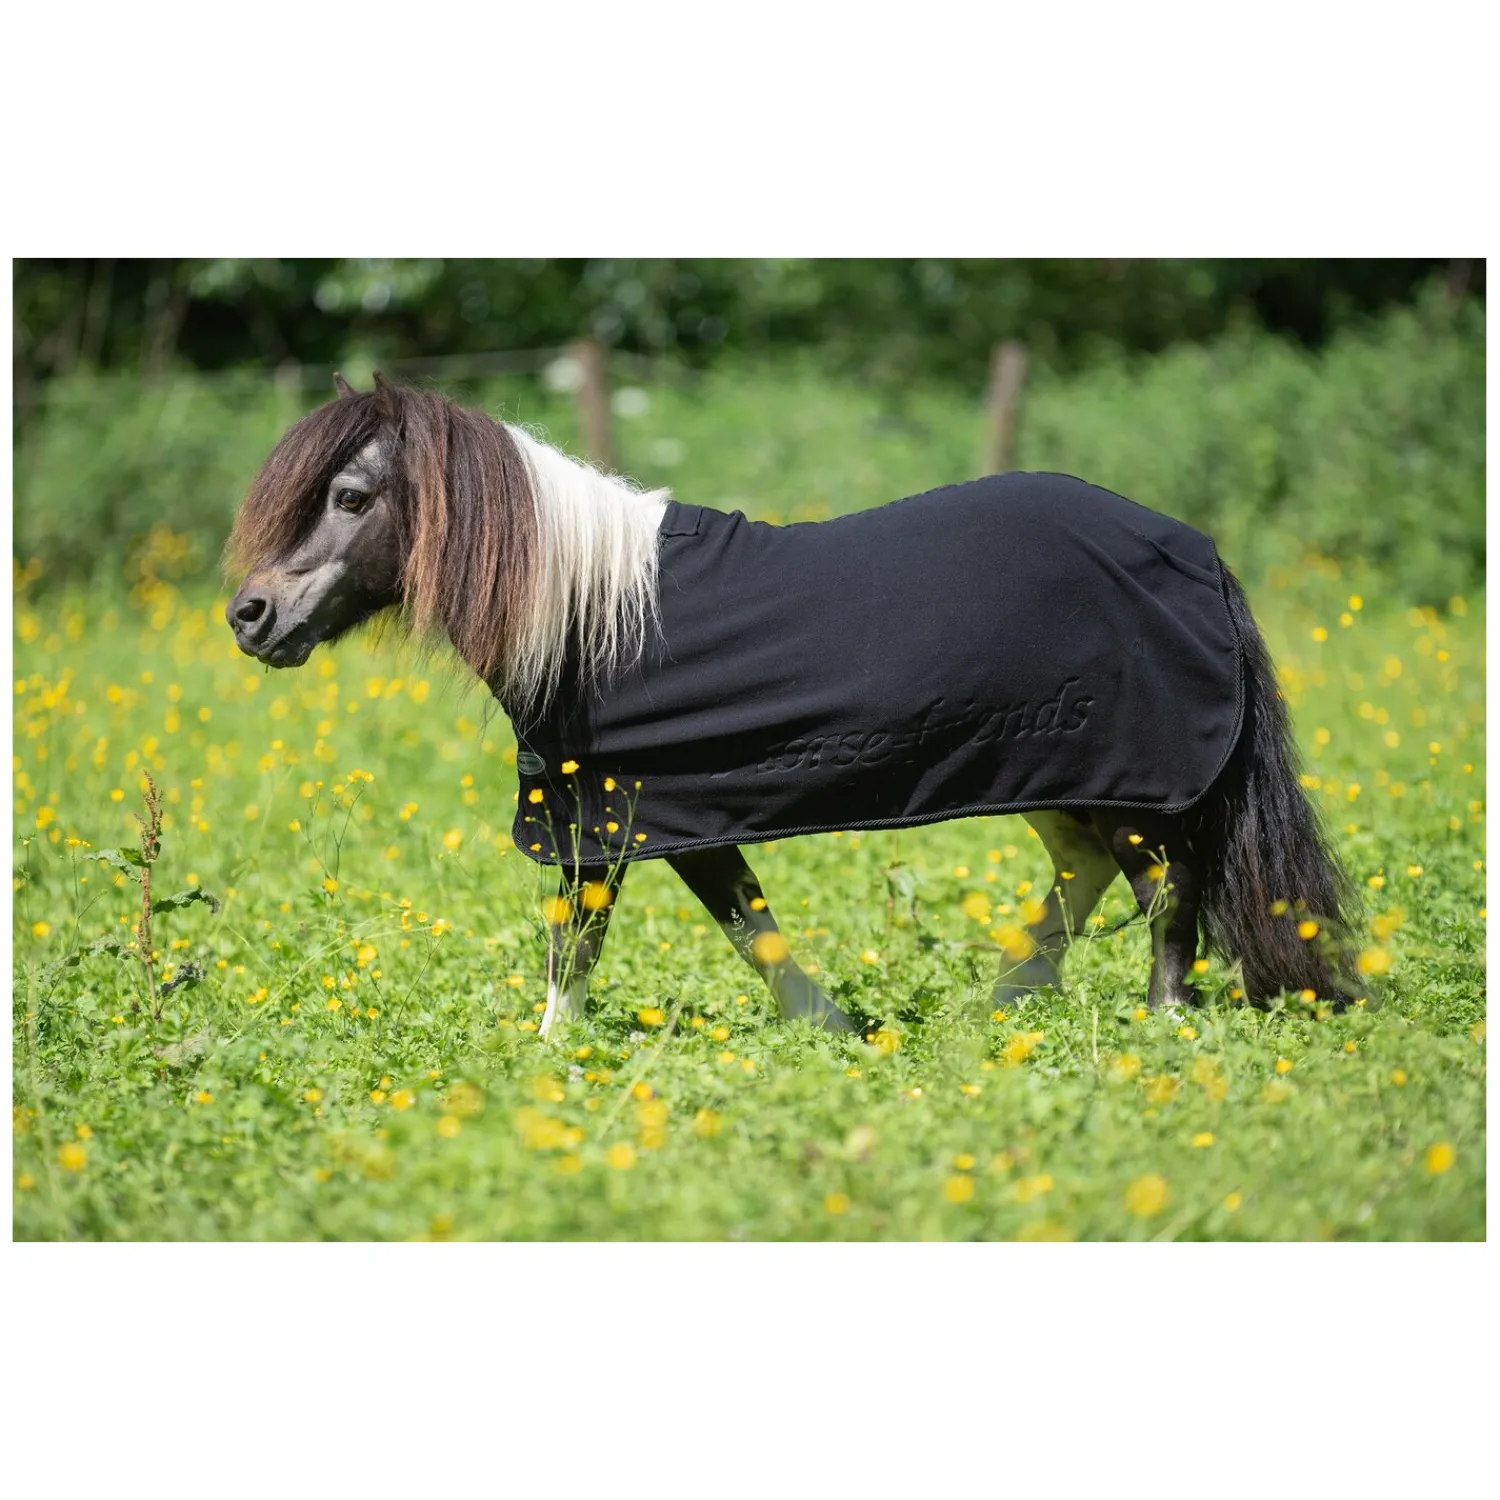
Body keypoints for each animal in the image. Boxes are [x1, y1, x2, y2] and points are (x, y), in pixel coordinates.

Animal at [225, 373, 1360, 1040]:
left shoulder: (621, 817)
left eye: (352, 497)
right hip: (1052, 767)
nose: (250, 616)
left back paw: (1158, 1027)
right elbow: (738, 926)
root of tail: (1189, 545)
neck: (596, 614)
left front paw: (551, 1064)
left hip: (1132, 775)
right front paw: (838, 1033)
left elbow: (604, 941)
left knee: (1168, 891)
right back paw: (998, 1005)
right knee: (1089, 874)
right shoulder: (647, 817)